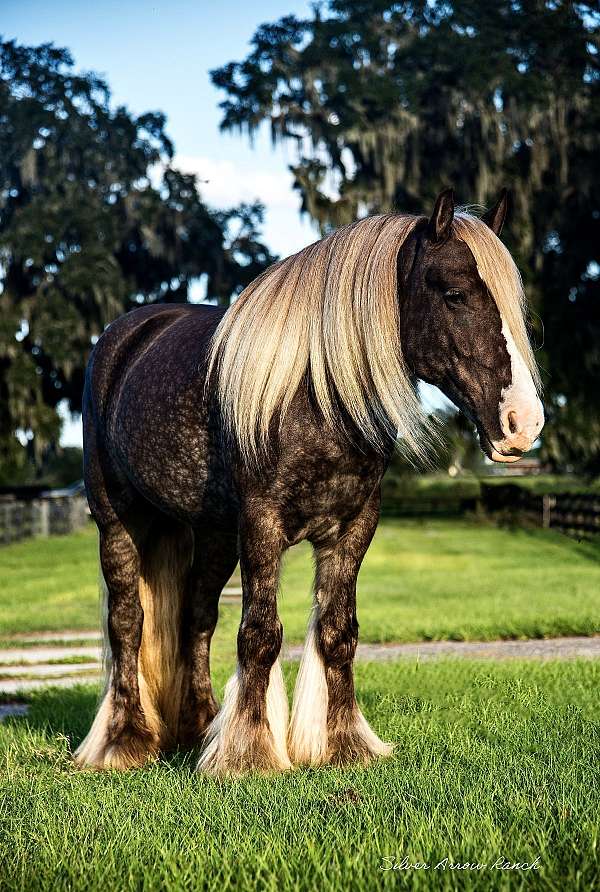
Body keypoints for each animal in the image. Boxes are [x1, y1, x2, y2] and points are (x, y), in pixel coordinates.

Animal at [74, 188, 544, 772]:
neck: (312, 394)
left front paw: (342, 743)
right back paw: (124, 740)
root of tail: (125, 336)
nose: (523, 422)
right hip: (119, 525)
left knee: (195, 619)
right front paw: (249, 754)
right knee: (127, 624)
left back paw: (199, 728)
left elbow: (338, 632)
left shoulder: (352, 530)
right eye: (455, 294)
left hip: (211, 536)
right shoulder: (262, 526)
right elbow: (260, 634)